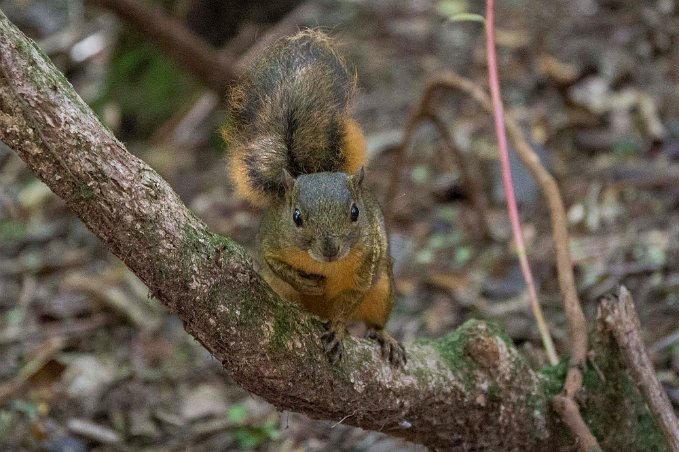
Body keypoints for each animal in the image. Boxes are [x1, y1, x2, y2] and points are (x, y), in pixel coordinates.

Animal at [223, 29, 406, 368]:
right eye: (296, 217)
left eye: (355, 212)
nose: (330, 249)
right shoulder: (271, 240)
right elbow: (275, 264)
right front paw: (306, 282)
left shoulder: (368, 264)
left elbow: (348, 303)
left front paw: (337, 326)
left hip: (383, 291)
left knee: (374, 322)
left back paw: (384, 338)